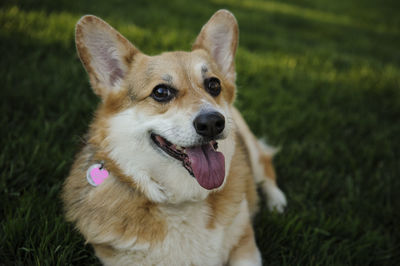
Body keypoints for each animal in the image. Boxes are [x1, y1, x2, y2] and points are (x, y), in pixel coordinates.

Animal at [61, 9, 288, 266]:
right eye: (161, 92)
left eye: (214, 85)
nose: (212, 123)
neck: (183, 200)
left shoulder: (245, 245)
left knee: (265, 168)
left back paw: (277, 202)